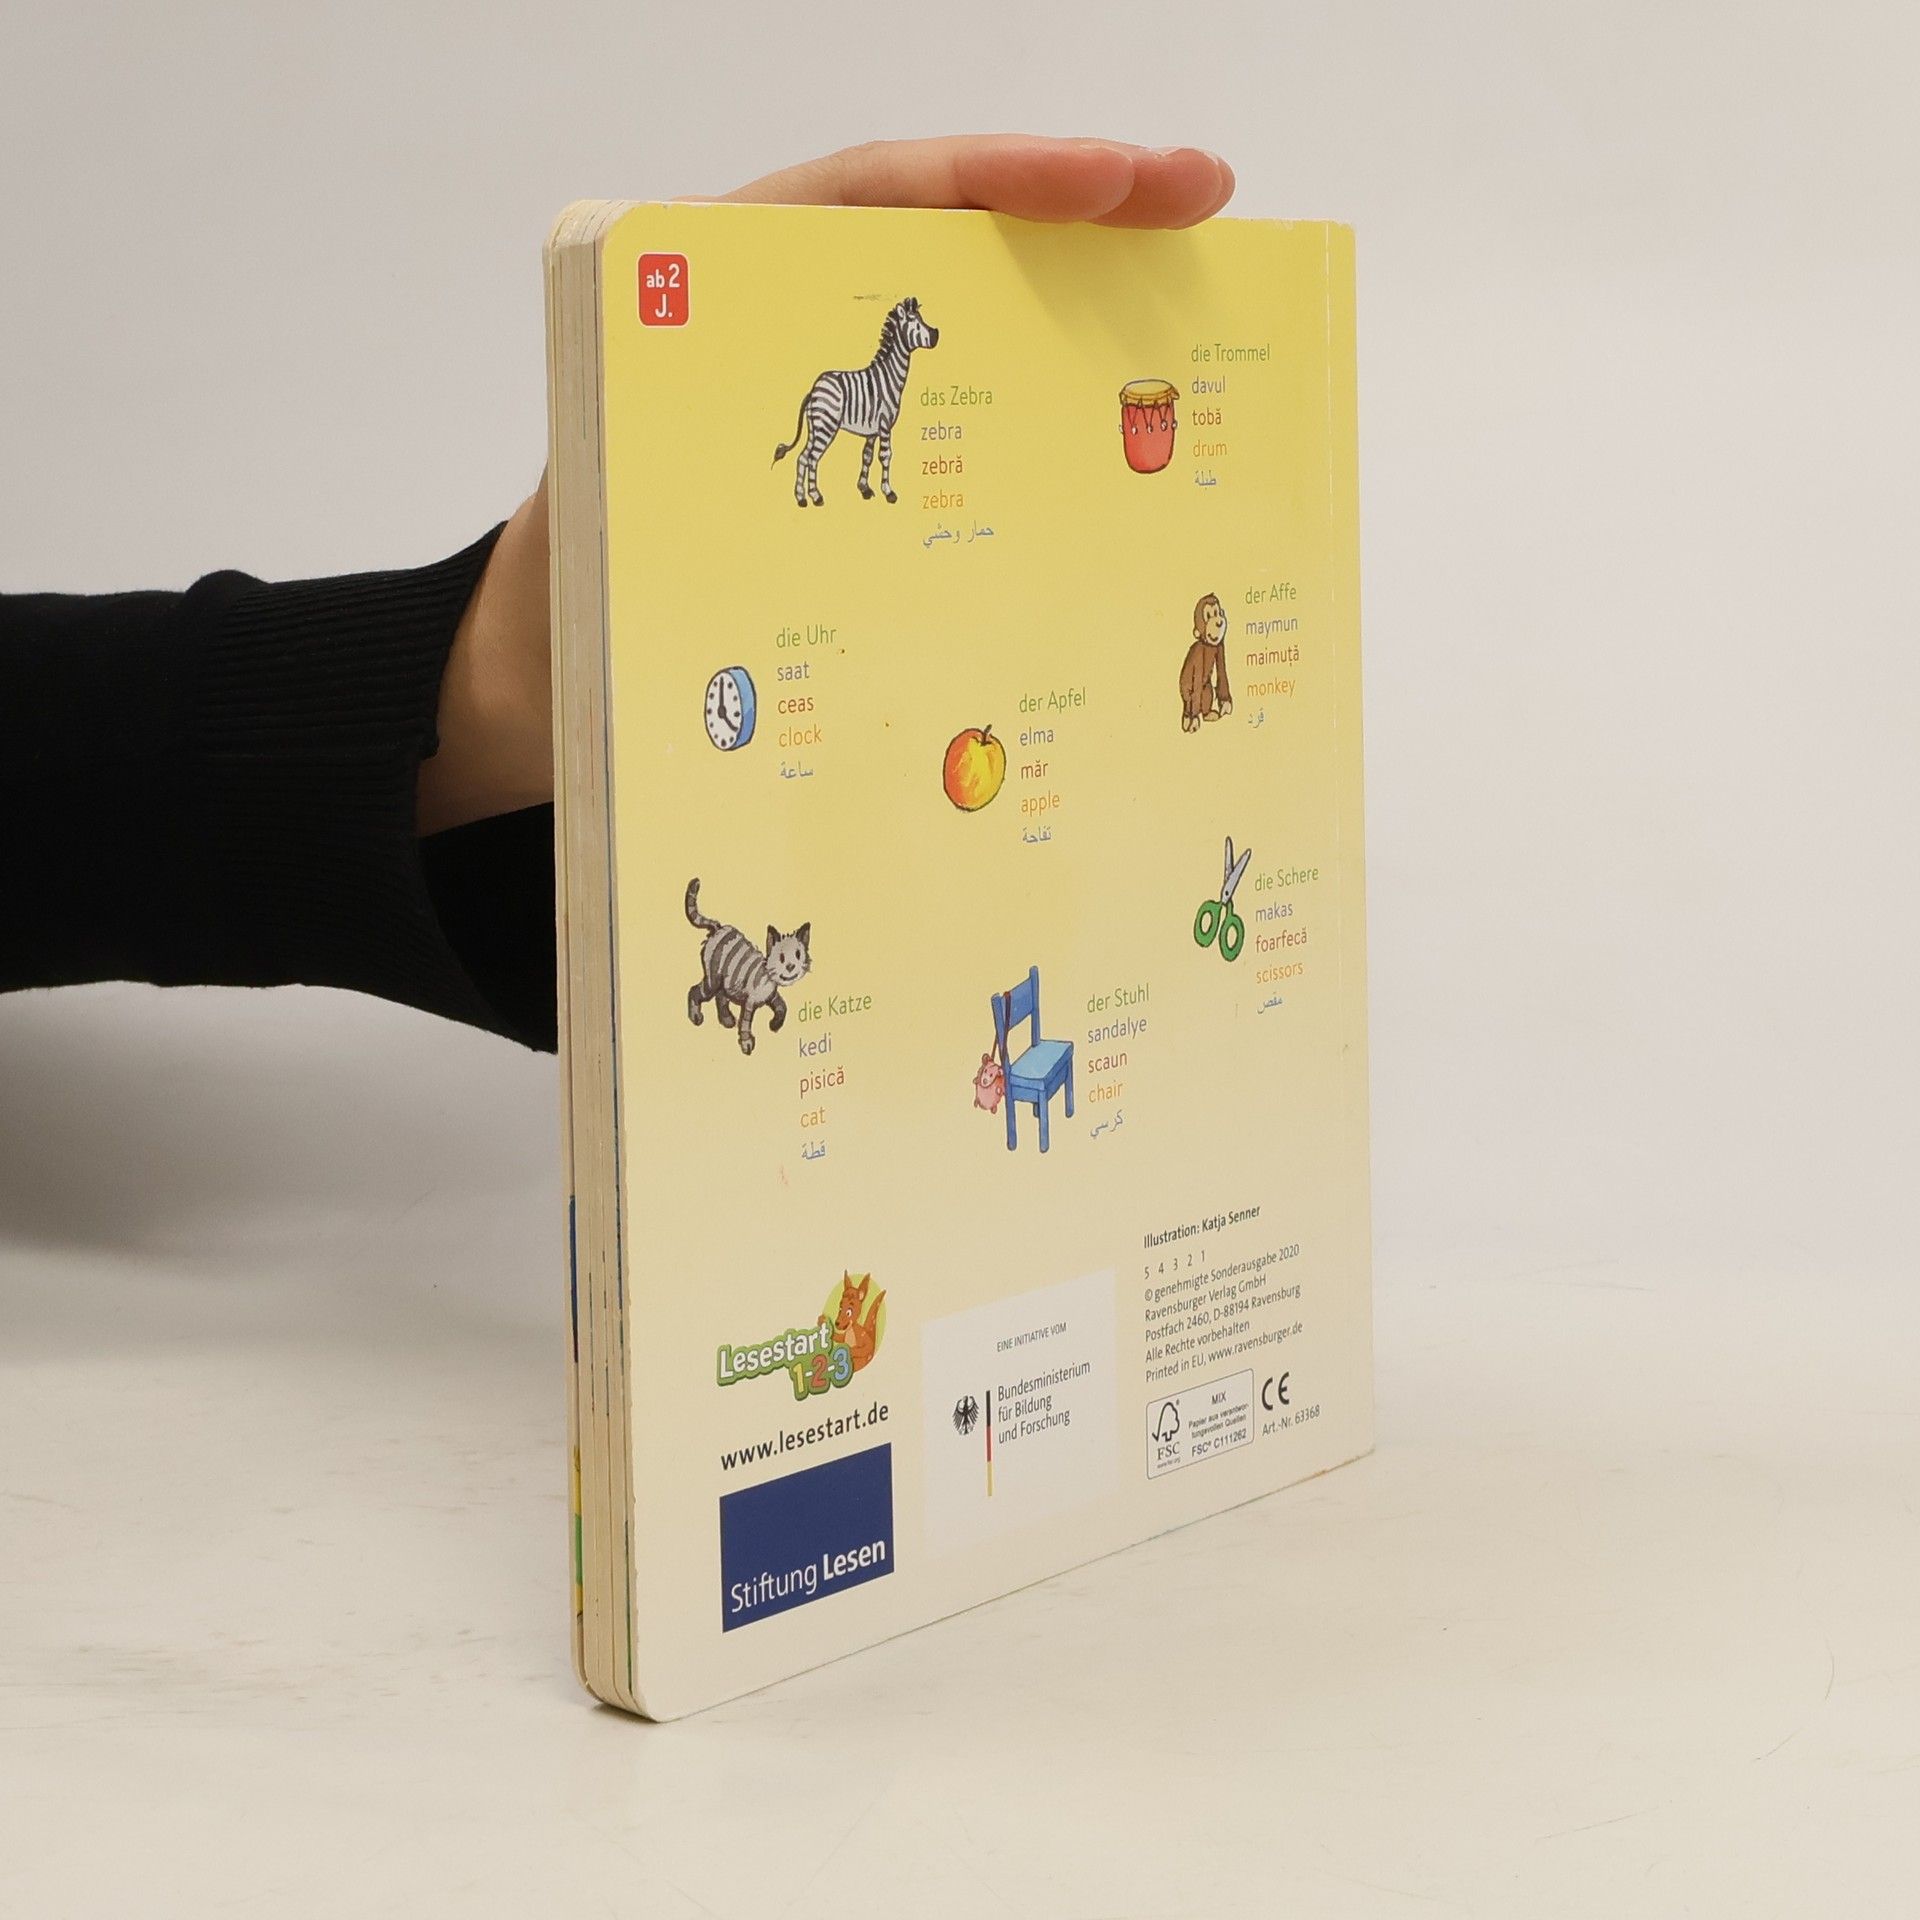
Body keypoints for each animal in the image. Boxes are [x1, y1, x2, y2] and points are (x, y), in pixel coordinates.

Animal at [684, 878, 811, 1056]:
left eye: (798, 955)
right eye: (781, 958)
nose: (791, 966)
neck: (768, 978)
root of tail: (718, 928)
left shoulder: (772, 996)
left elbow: (783, 1007)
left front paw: (775, 1025)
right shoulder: (749, 1003)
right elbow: (745, 1025)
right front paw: (747, 1044)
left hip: (724, 981)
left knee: (720, 997)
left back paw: (726, 1019)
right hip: (712, 981)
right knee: (695, 991)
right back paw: (696, 1017)